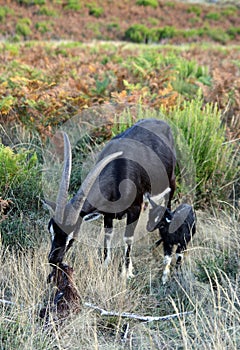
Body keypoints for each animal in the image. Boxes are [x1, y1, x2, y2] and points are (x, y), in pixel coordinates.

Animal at [44, 119, 176, 278]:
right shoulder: (107, 213)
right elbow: (108, 236)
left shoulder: (134, 209)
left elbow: (128, 238)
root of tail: (161, 122)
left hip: (171, 182)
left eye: (72, 235)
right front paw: (105, 264)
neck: (117, 170)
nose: (53, 259)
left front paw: (127, 272)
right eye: (51, 230)